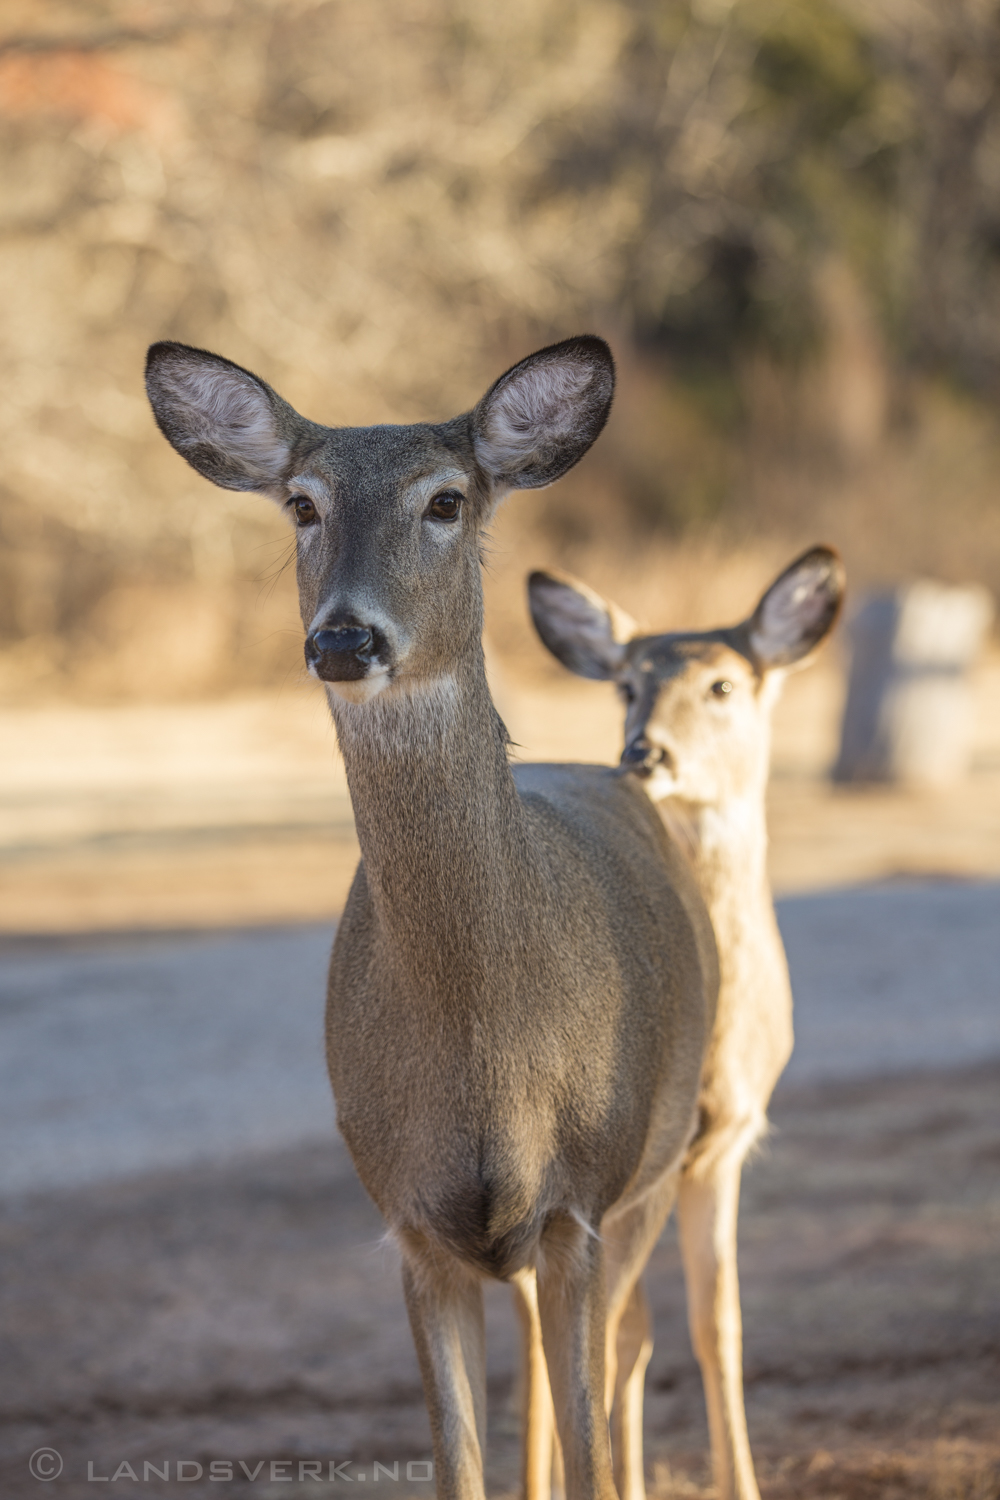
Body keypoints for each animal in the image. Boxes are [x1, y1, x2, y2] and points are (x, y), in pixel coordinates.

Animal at [142, 337, 719, 1500]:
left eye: (446, 499)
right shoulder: (408, 1220)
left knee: (632, 1349)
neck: (484, 1055)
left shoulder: (578, 1205)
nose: (343, 637)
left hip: (662, 1155)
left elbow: (590, 1442)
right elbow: (462, 1460)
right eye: (303, 505)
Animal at [527, 549, 851, 1500]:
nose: (645, 751)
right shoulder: (629, 1169)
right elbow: (624, 1336)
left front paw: (741, 1482)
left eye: (723, 683)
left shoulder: (726, 1144)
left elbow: (717, 1323)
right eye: (627, 685)